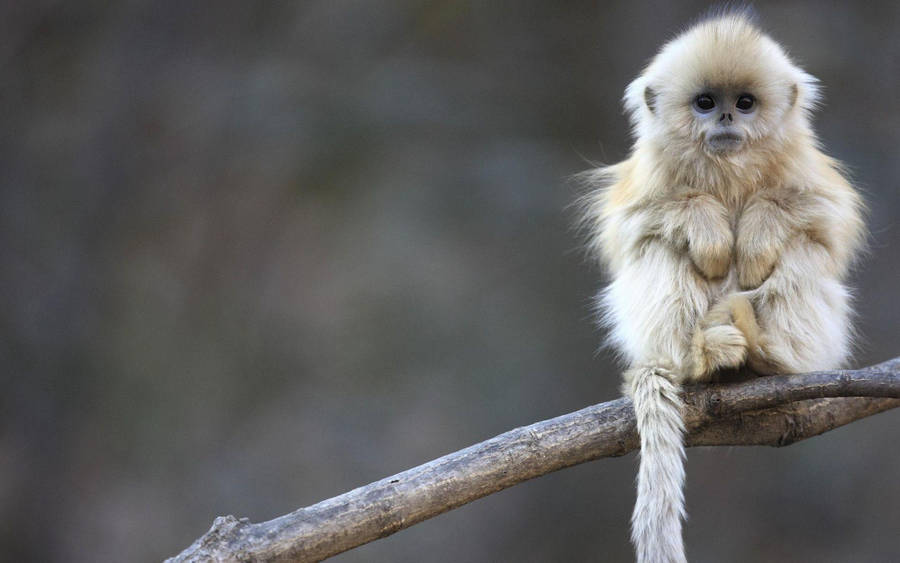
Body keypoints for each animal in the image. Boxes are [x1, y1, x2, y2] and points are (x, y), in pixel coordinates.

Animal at [579, 11, 865, 563]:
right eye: (706, 102)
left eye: (746, 102)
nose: (728, 118)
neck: (728, 170)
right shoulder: (646, 179)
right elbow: (634, 225)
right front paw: (709, 230)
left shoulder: (807, 170)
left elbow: (824, 219)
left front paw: (754, 235)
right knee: (660, 248)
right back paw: (701, 357)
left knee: (803, 250)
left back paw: (767, 353)